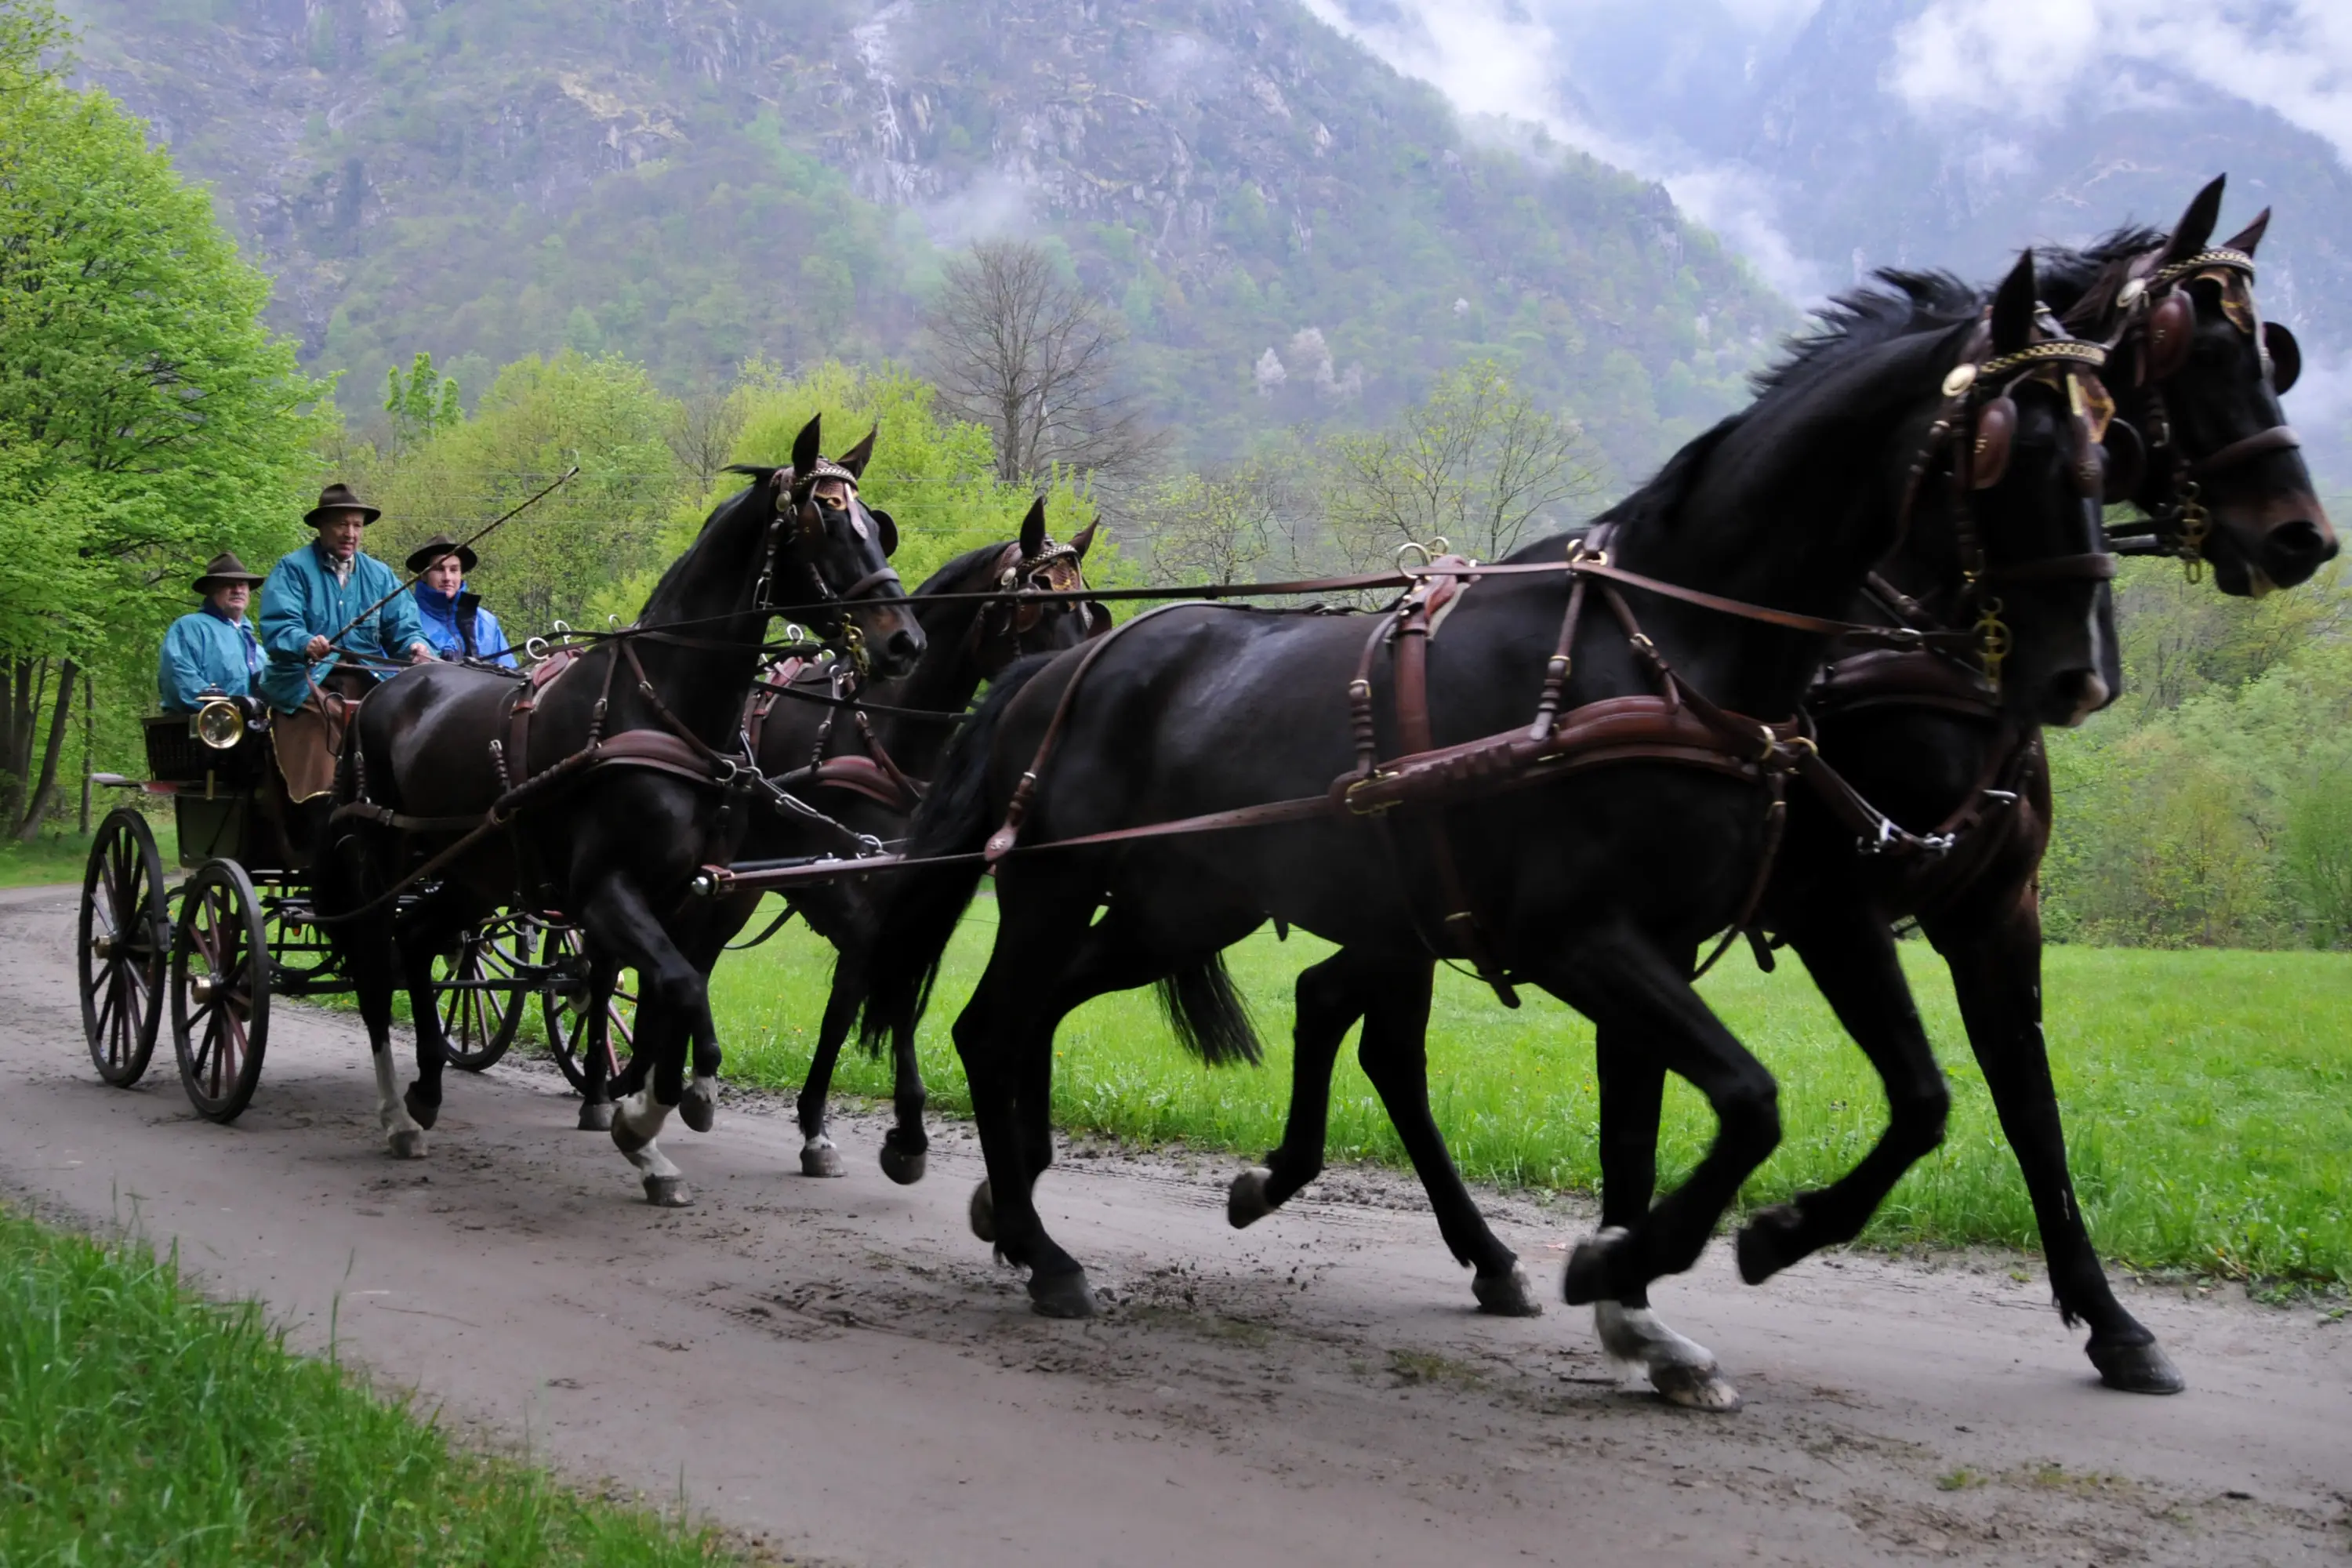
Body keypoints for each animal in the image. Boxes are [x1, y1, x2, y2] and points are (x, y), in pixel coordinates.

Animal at [314, 416, 924, 1208]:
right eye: (825, 523)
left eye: (877, 527)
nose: (904, 641)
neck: (665, 712)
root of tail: (381, 691)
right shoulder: (605, 893)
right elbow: (682, 994)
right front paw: (640, 1122)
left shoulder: (695, 895)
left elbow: (673, 1007)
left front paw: (648, 1134)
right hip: (385, 862)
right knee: (372, 963)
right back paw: (396, 1110)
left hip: (476, 873)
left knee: (418, 942)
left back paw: (427, 1092)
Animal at [569, 499, 1105, 1187]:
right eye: (1040, 602)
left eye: (1089, 610)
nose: (1085, 682)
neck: (880, 728)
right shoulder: (833, 886)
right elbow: (884, 986)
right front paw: (902, 1132)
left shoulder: (884, 882)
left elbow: (847, 1001)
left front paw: (820, 1126)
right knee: (609, 964)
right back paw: (601, 1088)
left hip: (729, 886)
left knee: (692, 957)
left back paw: (677, 1079)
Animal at [859, 251, 2118, 1330]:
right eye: (2005, 447)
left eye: (2103, 441)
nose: (2079, 673)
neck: (1666, 648)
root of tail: (1053, 671)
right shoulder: (1582, 934)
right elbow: (1749, 1096)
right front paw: (1638, 1260)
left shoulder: (1769, 918)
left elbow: (1897, 1097)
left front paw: (1705, 1253)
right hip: (1058, 887)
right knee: (991, 1022)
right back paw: (1041, 1245)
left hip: (1181, 908)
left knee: (1048, 1014)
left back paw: (1028, 1210)